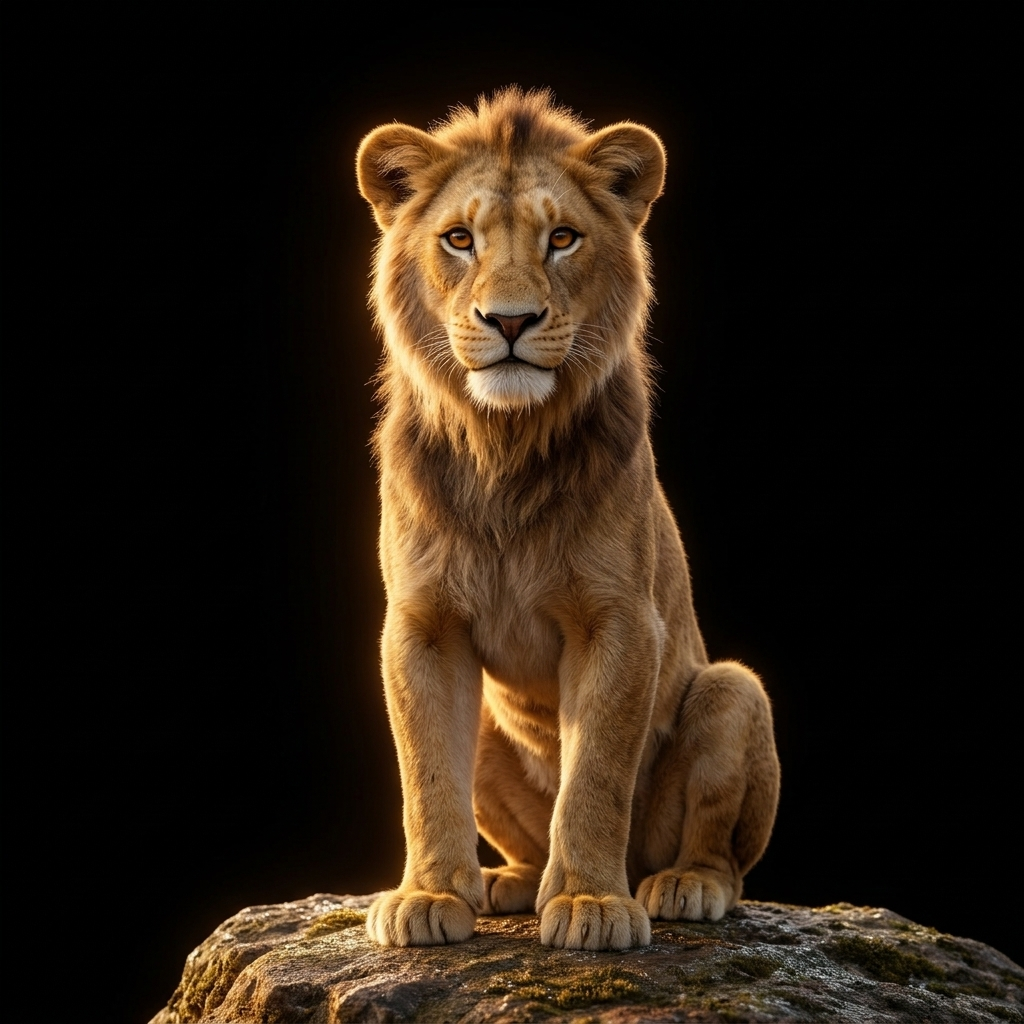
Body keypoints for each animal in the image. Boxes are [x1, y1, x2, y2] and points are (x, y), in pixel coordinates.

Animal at [355, 87, 780, 952]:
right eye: (459, 239)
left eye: (562, 238)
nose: (511, 320)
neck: (505, 446)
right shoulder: (422, 625)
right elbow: (426, 774)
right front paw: (428, 895)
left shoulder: (620, 620)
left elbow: (597, 776)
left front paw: (590, 902)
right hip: (492, 726)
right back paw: (508, 883)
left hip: (733, 692)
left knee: (721, 854)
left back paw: (680, 885)